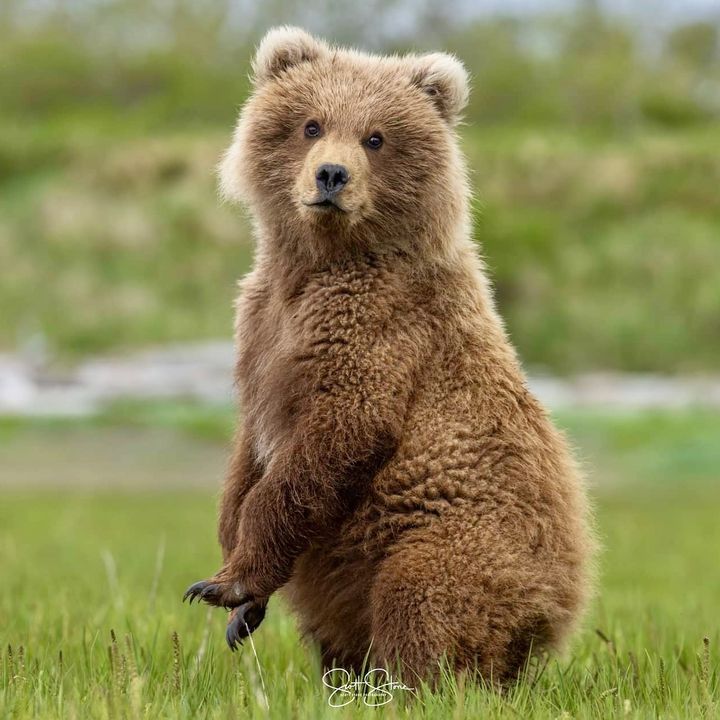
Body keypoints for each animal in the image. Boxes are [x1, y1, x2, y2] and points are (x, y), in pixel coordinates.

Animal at [184, 26, 595, 686]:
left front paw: (228, 583)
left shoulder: (378, 330)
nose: (331, 175)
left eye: (375, 137)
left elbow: (340, 431)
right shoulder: (261, 327)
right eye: (311, 124)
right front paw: (238, 590)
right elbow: (247, 453)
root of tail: (557, 615)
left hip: (461, 539)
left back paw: (410, 681)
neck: (324, 260)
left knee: (420, 599)